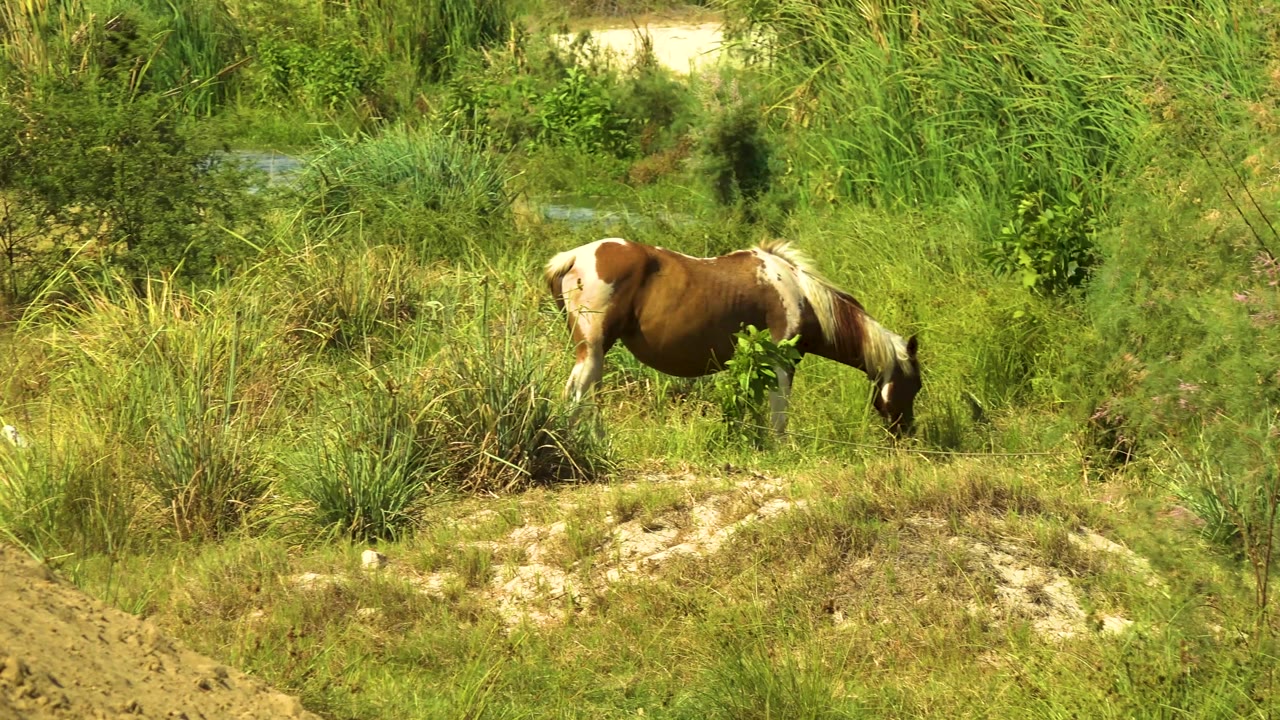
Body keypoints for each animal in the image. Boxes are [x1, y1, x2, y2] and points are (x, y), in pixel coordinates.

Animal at [543, 238, 921, 435]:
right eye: (914, 385)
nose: (907, 432)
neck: (801, 293)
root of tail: (575, 256)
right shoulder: (781, 360)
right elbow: (779, 410)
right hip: (593, 347)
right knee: (578, 392)